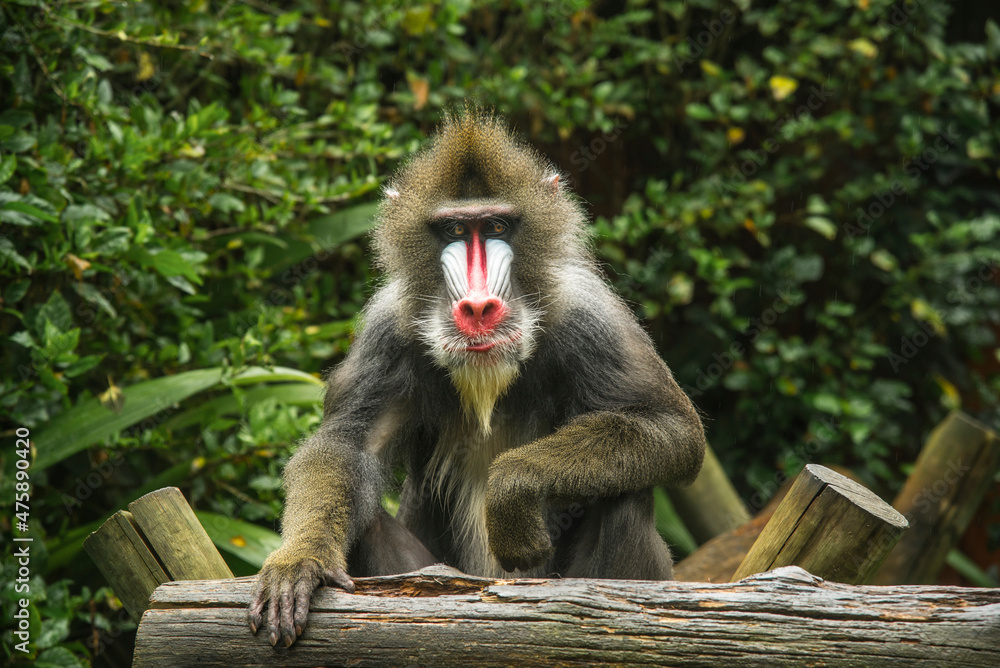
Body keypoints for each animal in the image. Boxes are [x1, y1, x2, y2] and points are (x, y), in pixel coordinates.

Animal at [248, 111, 706, 647]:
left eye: (496, 226)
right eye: (453, 230)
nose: (479, 307)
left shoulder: (591, 318)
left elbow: (669, 427)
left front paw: (512, 488)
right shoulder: (386, 334)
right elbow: (345, 445)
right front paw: (298, 563)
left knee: (625, 492)